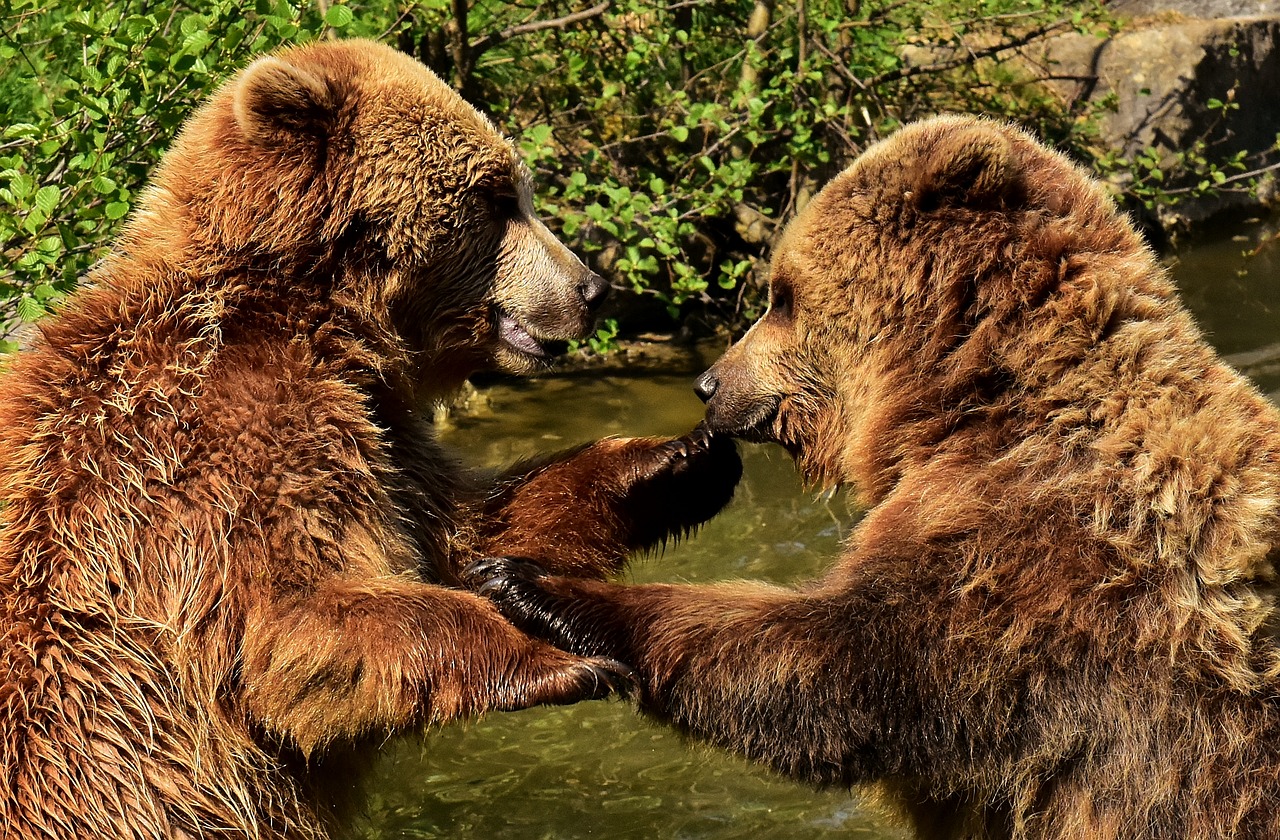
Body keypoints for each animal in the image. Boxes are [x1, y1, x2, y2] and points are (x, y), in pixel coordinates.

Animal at [0, 37, 742, 840]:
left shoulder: (382, 431)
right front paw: (563, 661)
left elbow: (466, 530)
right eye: (497, 195)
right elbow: (294, 624)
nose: (591, 288)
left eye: (519, 189)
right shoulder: (215, 448)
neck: (317, 315)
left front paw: (682, 460)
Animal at [476, 114, 1280, 834]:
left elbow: (835, 667)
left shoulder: (1041, 556)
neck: (975, 397)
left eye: (781, 295)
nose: (709, 384)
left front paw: (528, 581)